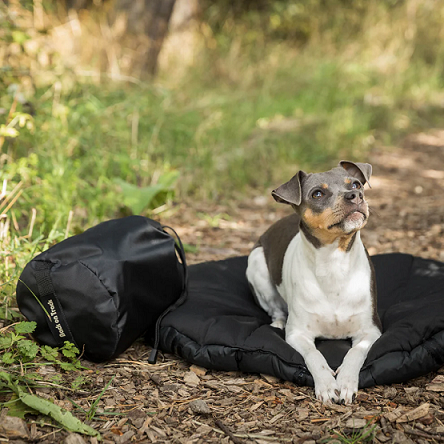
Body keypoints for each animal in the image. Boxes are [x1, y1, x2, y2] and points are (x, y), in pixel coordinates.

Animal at [246, 161, 382, 404]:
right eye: (317, 193)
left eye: (356, 184)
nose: (355, 195)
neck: (334, 263)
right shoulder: (298, 334)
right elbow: (314, 354)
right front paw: (327, 384)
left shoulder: (370, 331)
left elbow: (355, 352)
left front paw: (346, 381)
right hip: (256, 266)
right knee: (275, 309)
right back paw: (278, 322)